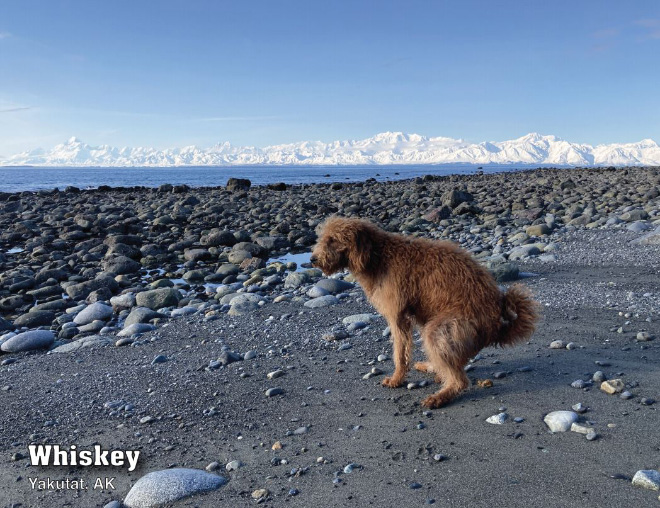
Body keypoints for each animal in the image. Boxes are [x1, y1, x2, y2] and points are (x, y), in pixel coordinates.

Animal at [310, 216, 536, 406]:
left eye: (333, 239)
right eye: (323, 238)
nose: (312, 259)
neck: (378, 256)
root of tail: (497, 325)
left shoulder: (397, 316)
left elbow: (400, 353)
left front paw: (396, 379)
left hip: (442, 327)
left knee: (459, 378)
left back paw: (440, 396)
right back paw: (434, 369)